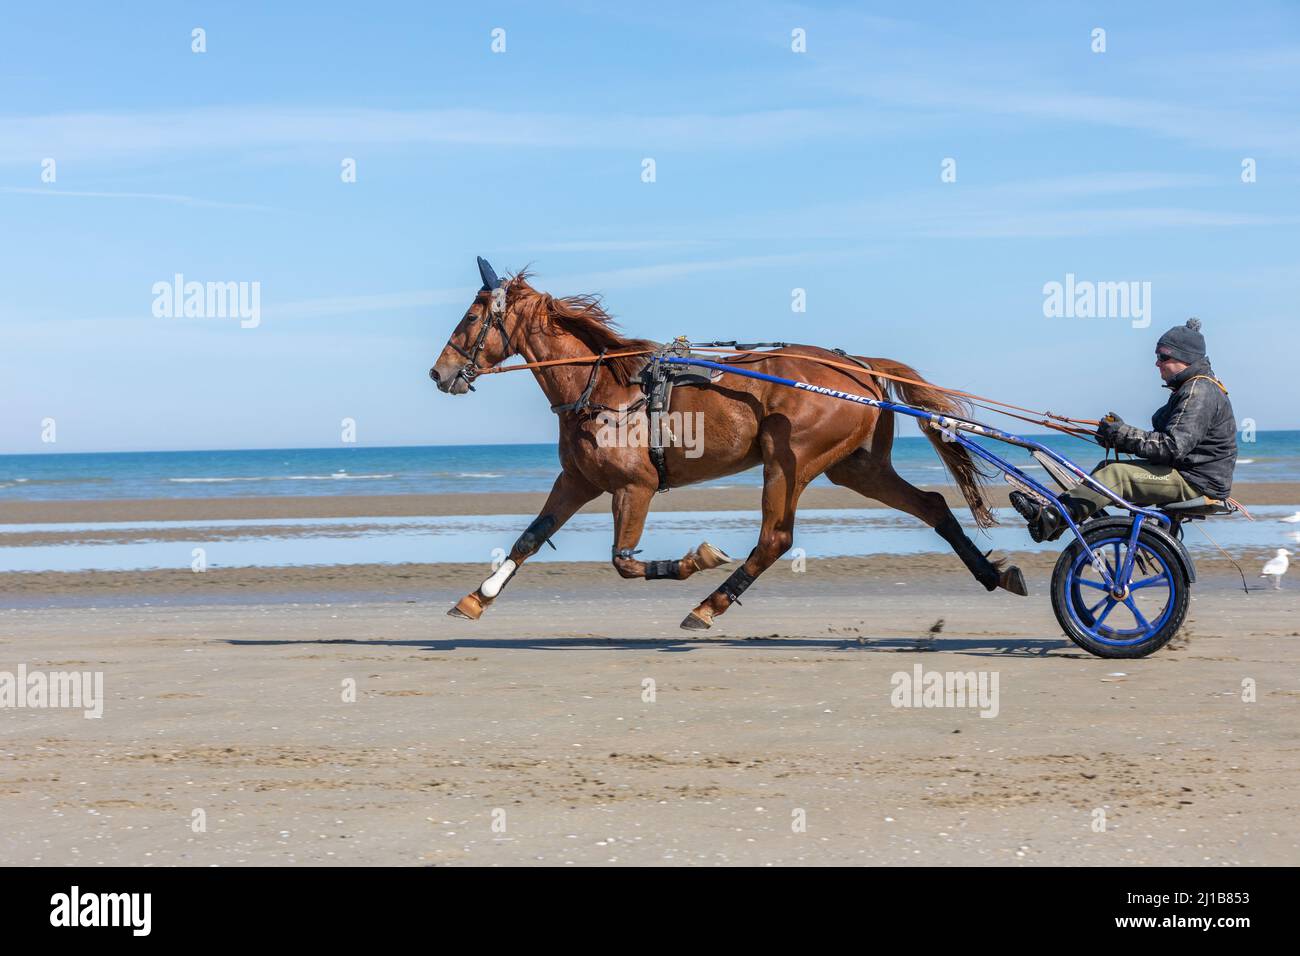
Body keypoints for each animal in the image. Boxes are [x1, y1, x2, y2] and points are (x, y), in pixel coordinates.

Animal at [429, 258, 1027, 630]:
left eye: (473, 316)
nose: (439, 372)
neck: (605, 388)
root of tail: (857, 366)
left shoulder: (634, 487)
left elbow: (623, 561)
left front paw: (697, 558)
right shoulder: (578, 479)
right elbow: (530, 538)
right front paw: (476, 598)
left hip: (789, 461)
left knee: (775, 539)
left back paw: (708, 604)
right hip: (855, 466)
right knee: (932, 505)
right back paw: (993, 573)